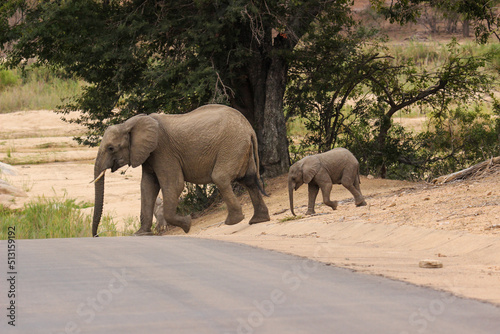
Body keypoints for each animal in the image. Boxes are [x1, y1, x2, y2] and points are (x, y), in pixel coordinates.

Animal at [90, 104, 270, 237]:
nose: (97, 235)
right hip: (241, 148)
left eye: (111, 148)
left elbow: (173, 185)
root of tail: (249, 128)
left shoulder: (163, 150)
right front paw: (140, 234)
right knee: (249, 180)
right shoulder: (148, 155)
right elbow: (147, 187)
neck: (129, 124)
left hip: (231, 146)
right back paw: (258, 220)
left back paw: (233, 221)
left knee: (221, 178)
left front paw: (187, 224)